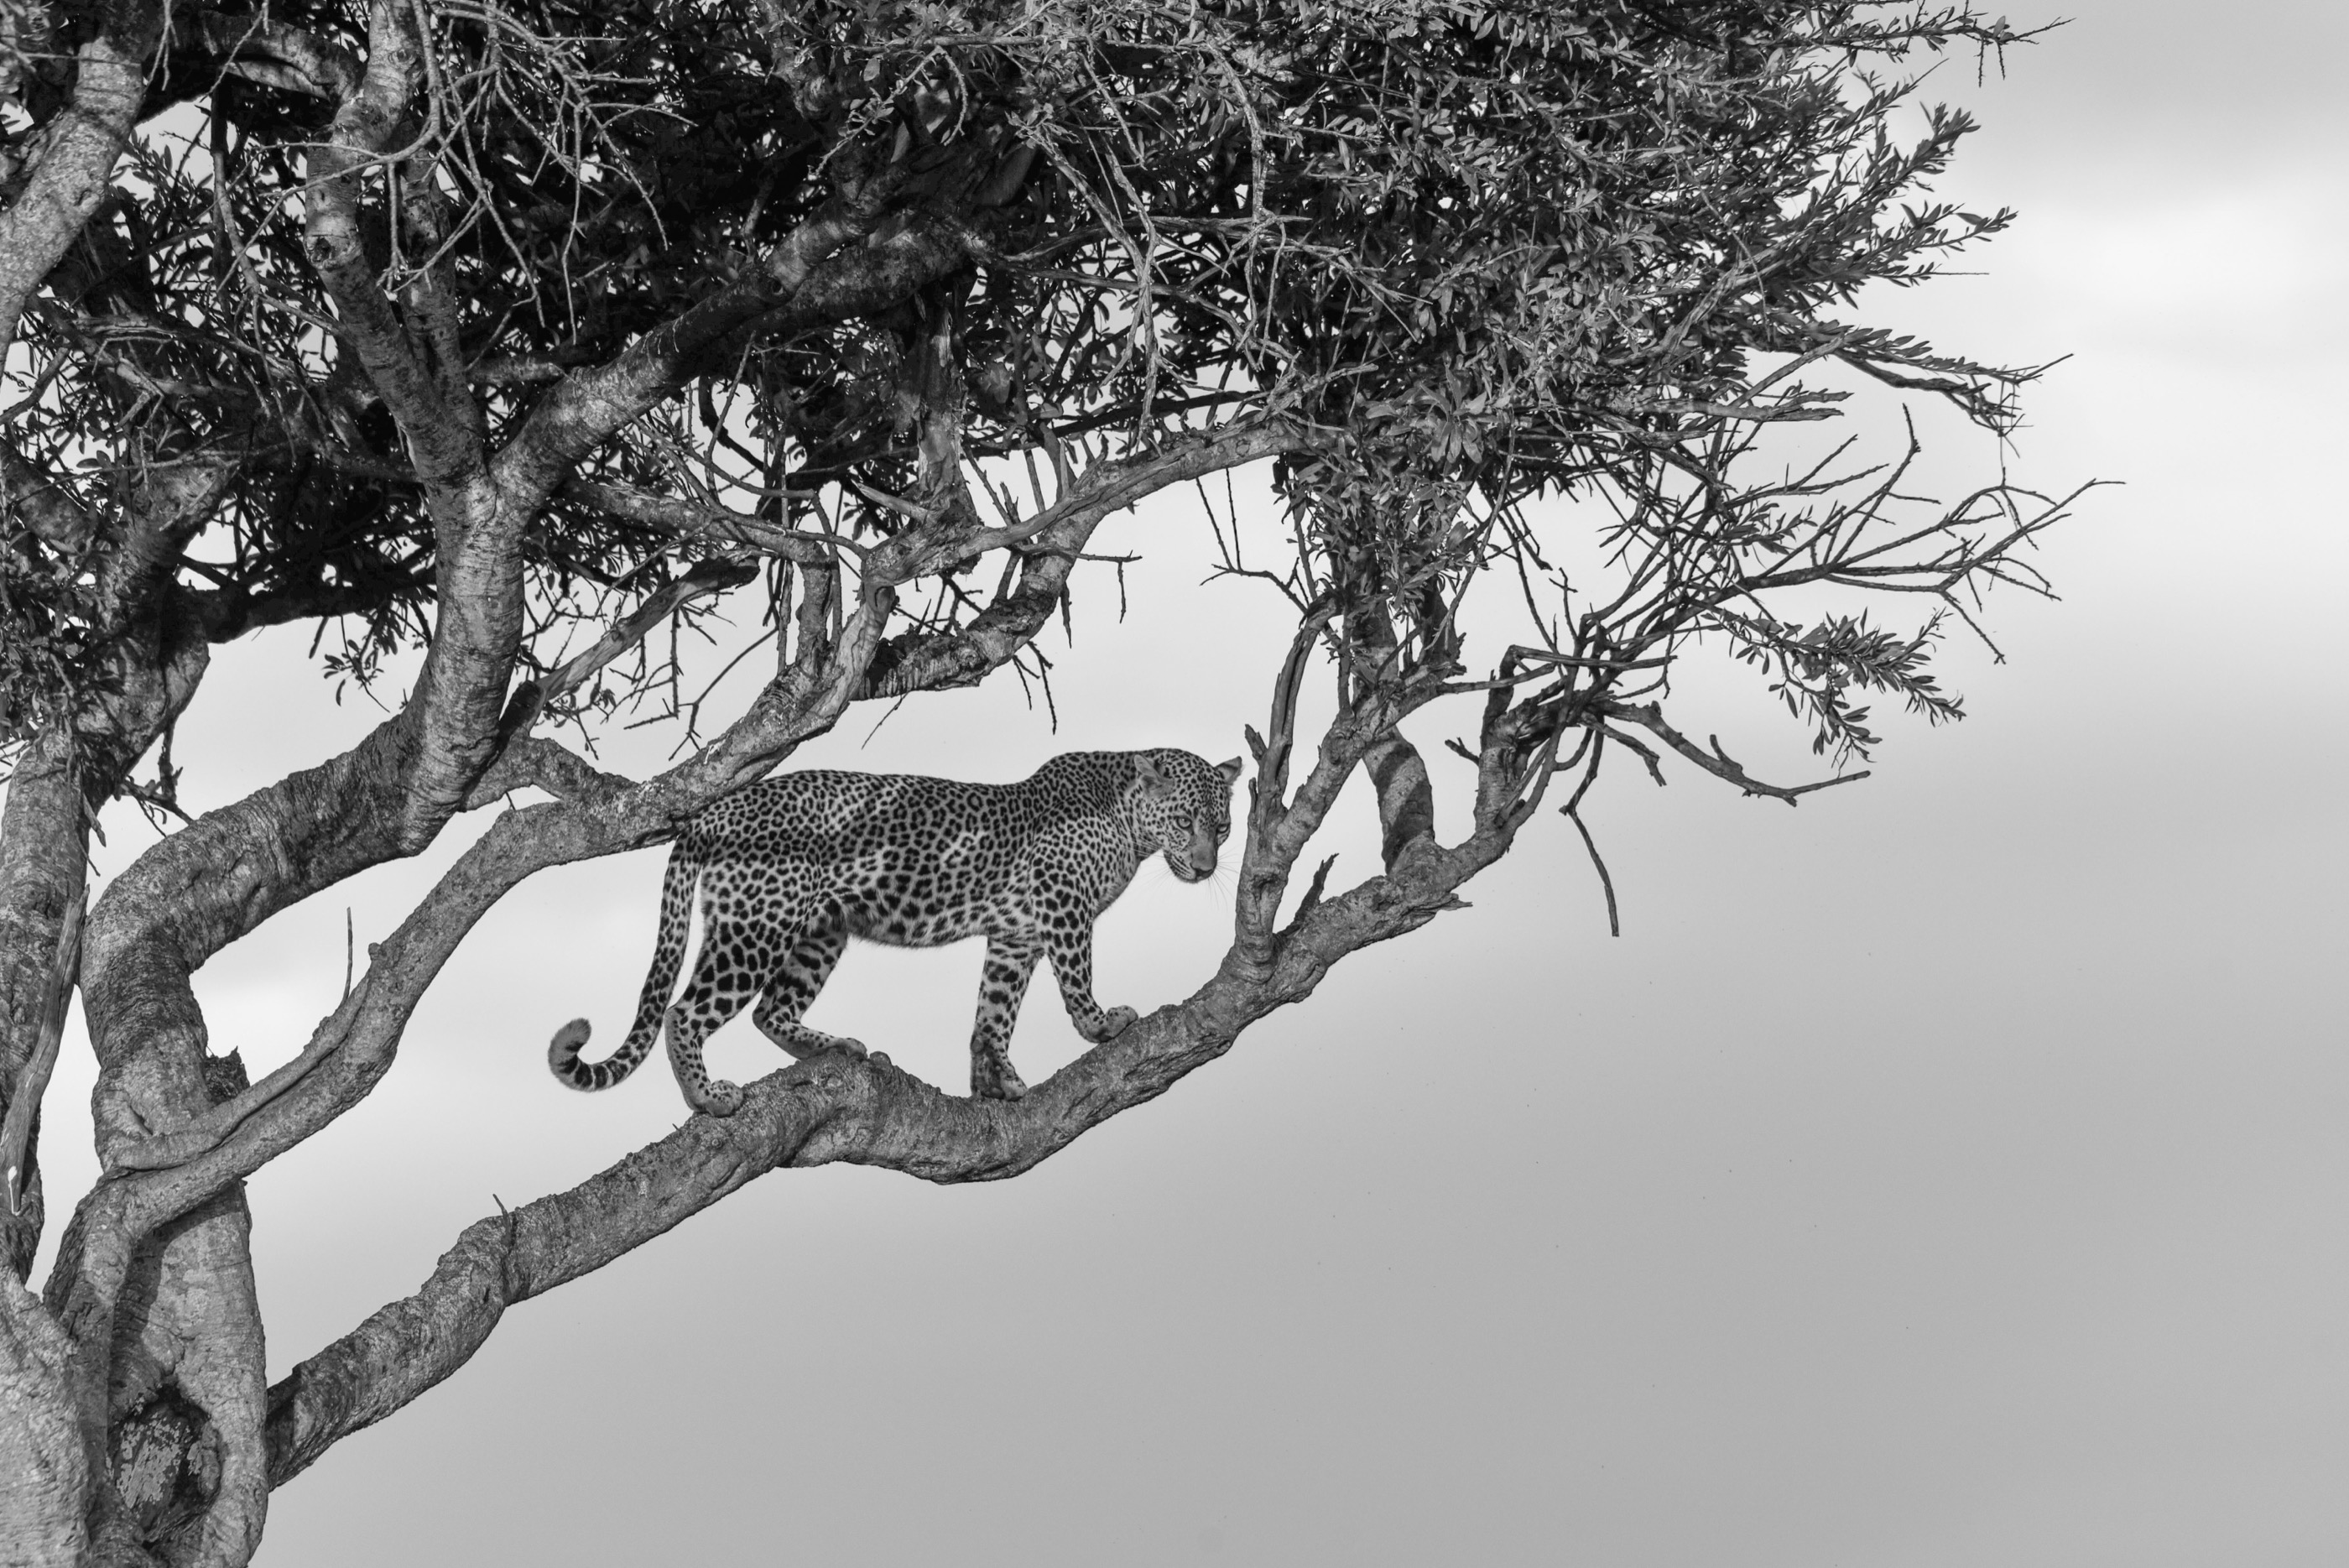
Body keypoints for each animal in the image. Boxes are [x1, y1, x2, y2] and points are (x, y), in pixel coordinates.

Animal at [548, 748, 1244, 1117]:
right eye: (1185, 821)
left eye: (1224, 826)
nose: (1206, 866)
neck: (1129, 820)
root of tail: (714, 811)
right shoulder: (1064, 909)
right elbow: (1077, 978)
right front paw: (1102, 1024)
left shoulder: (1015, 935)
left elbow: (994, 1012)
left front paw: (996, 1081)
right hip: (759, 926)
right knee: (685, 1010)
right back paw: (707, 1097)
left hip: (820, 931)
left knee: (771, 1010)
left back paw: (836, 1046)